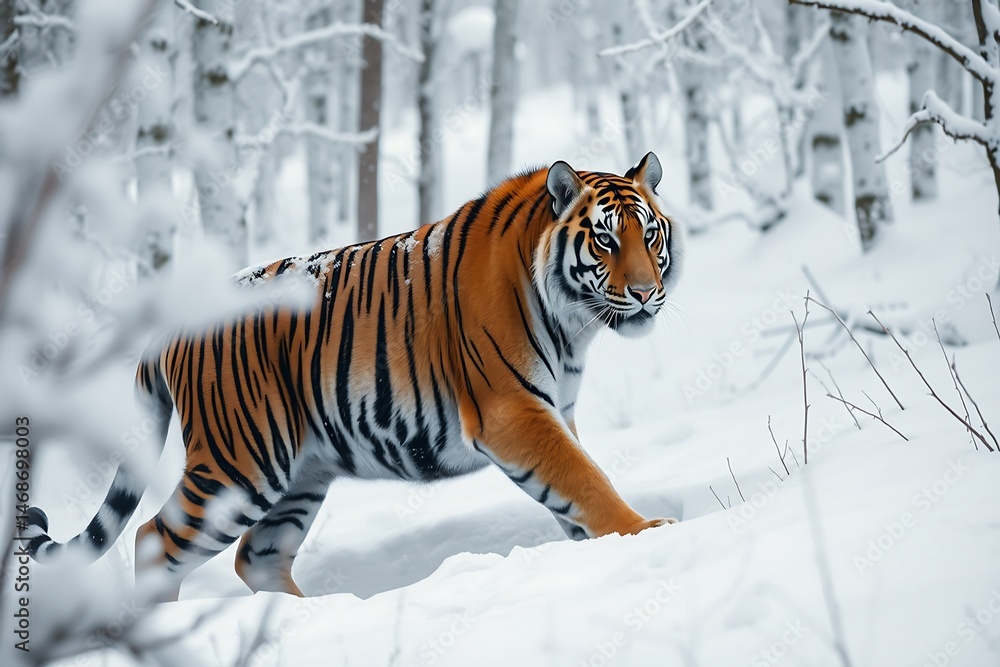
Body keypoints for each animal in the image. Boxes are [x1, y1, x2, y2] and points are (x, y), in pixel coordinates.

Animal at [23, 152, 683, 601]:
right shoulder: (513, 410)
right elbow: (584, 478)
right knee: (154, 541)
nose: (646, 292)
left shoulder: (553, 411)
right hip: (241, 464)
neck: (574, 323)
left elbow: (569, 488)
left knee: (256, 556)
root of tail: (174, 319)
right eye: (604, 240)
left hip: (299, 473)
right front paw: (644, 530)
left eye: (650, 235)